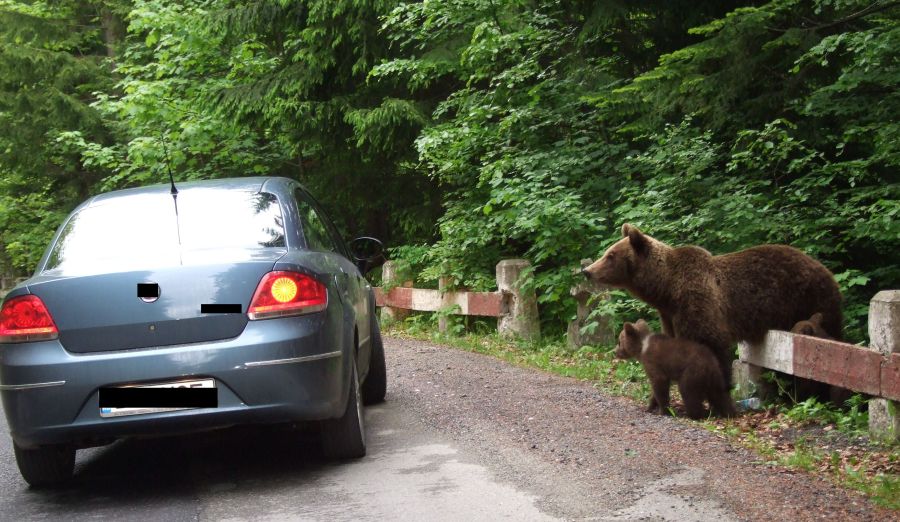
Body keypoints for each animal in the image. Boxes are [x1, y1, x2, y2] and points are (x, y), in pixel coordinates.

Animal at [584, 221, 844, 384]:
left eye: (610, 255)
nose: (587, 270)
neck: (666, 288)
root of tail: (826, 270)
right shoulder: (670, 314)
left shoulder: (697, 300)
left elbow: (710, 342)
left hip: (811, 301)